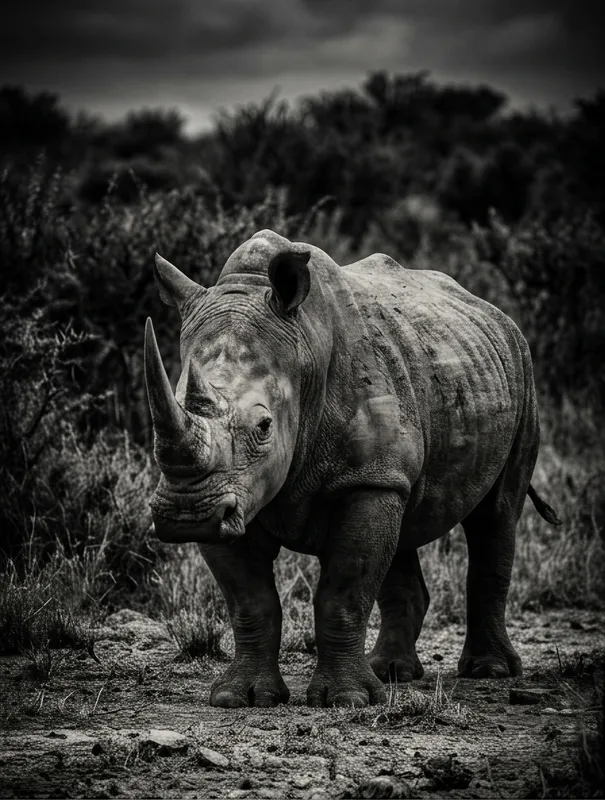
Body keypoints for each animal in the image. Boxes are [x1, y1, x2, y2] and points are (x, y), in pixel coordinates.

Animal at [144, 229, 560, 708]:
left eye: (264, 426)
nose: (186, 513)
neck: (303, 348)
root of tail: (493, 312)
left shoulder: (364, 480)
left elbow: (343, 591)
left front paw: (345, 700)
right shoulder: (234, 494)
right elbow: (250, 600)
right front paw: (240, 697)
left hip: (522, 371)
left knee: (496, 514)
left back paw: (488, 671)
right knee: (405, 522)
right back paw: (392, 673)